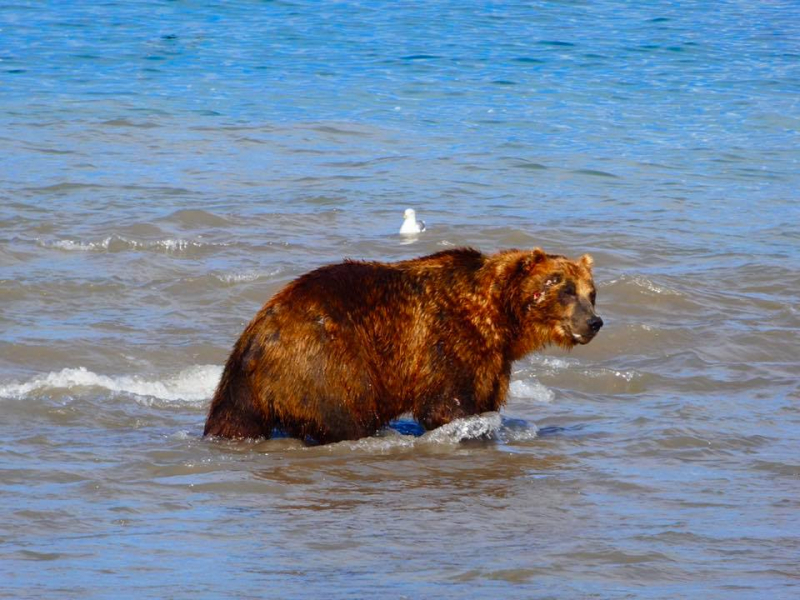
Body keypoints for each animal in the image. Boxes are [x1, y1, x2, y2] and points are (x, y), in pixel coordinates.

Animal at [203, 246, 604, 442]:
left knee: (234, 422)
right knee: (346, 417)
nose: (594, 322)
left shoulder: (492, 361)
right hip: (328, 363)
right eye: (564, 289)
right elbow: (445, 404)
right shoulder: (448, 339)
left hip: (240, 390)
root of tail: (260, 332)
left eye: (592, 293)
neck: (498, 319)